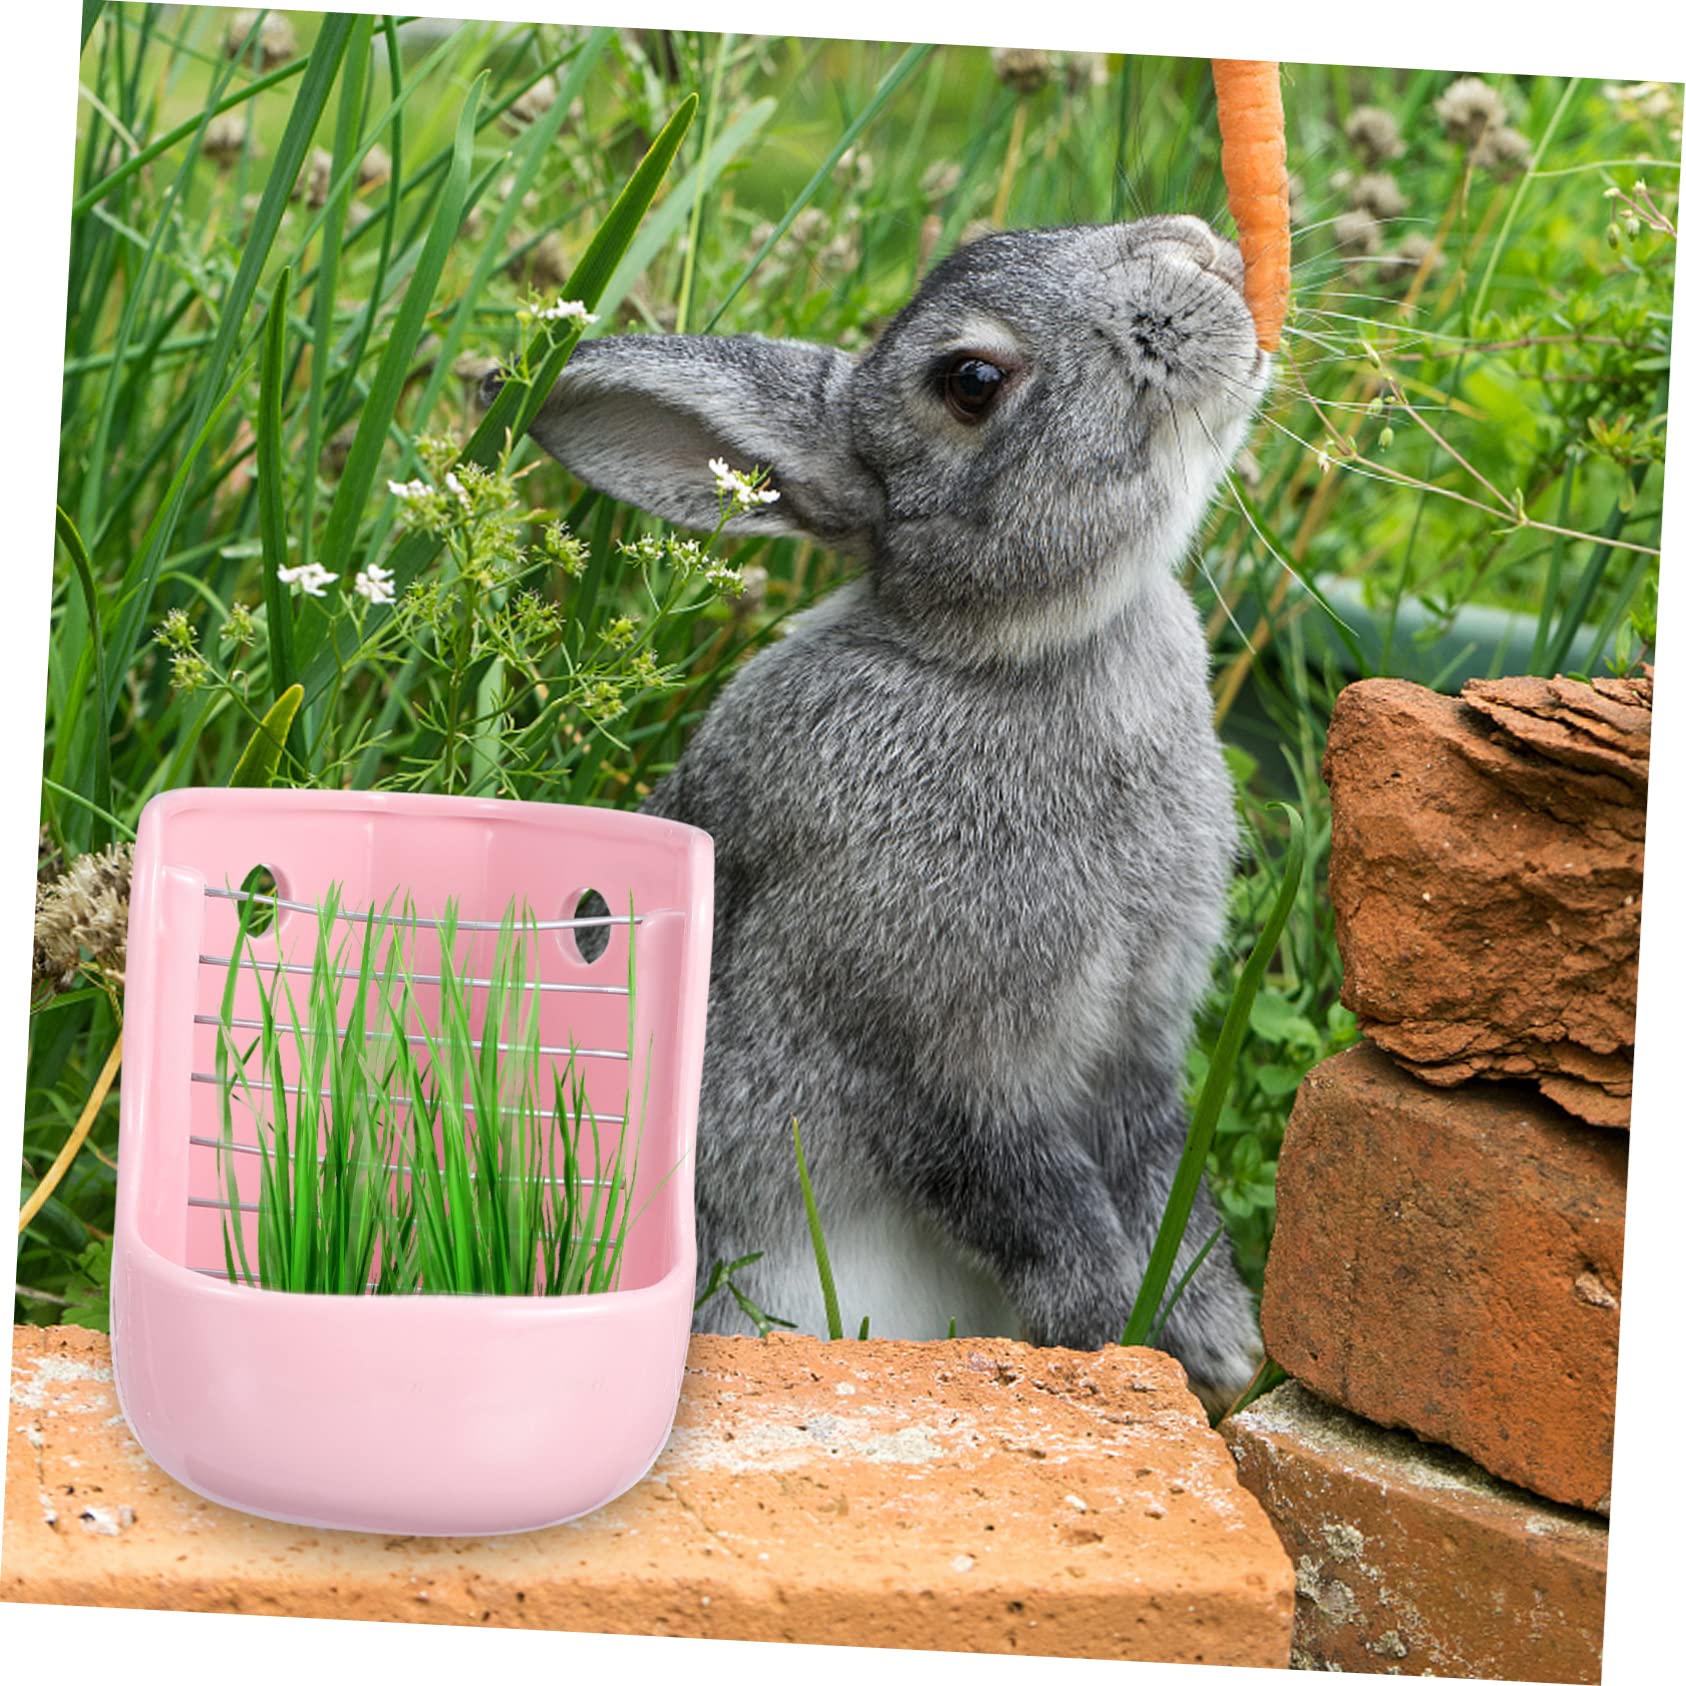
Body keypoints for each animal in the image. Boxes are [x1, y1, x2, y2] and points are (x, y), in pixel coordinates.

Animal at [508, 215, 1271, 1407]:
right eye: (970, 381)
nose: (1201, 252)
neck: (1004, 654)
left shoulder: (1138, 1047)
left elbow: (1163, 1185)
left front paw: (1219, 1344)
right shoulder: (924, 1057)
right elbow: (1031, 1201)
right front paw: (1114, 1336)